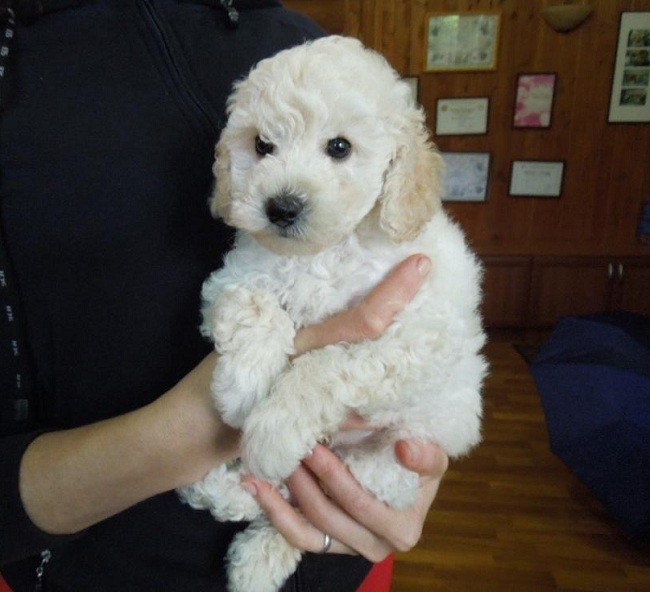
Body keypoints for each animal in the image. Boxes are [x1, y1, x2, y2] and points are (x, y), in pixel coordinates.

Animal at [180, 35, 484, 592]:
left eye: (339, 147)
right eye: (262, 146)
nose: (281, 207)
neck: (325, 251)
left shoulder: (416, 333)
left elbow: (325, 366)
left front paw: (273, 424)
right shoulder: (234, 277)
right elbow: (254, 307)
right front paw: (244, 389)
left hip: (391, 465)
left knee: (301, 501)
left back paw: (255, 541)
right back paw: (221, 492)